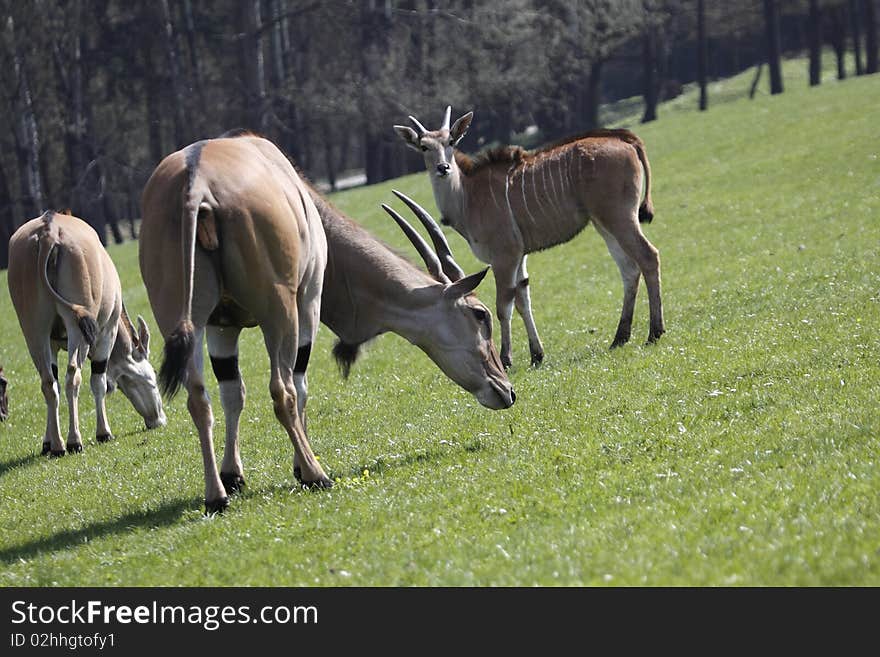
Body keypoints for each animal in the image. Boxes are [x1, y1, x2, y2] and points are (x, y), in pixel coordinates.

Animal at [7, 211, 165, 456]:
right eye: (153, 375)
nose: (160, 420)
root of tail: (49, 231)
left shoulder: (51, 343)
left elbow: (53, 383)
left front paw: (47, 443)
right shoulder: (106, 333)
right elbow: (98, 382)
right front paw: (103, 433)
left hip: (34, 331)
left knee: (48, 382)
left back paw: (58, 446)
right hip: (77, 331)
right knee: (74, 375)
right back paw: (74, 441)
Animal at [141, 132, 334, 512]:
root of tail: (195, 182)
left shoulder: (221, 326)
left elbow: (232, 393)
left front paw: (232, 474)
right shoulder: (309, 301)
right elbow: (299, 384)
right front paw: (301, 466)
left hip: (186, 321)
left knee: (199, 399)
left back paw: (216, 494)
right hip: (280, 313)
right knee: (283, 391)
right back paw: (315, 473)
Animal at [396, 105, 664, 366]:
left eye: (451, 141)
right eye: (424, 146)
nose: (443, 168)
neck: (467, 196)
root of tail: (625, 140)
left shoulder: (505, 256)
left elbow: (504, 305)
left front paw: (506, 358)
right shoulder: (520, 257)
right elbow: (523, 299)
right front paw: (537, 355)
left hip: (619, 218)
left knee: (648, 256)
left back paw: (654, 332)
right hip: (604, 225)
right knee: (629, 269)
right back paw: (620, 337)